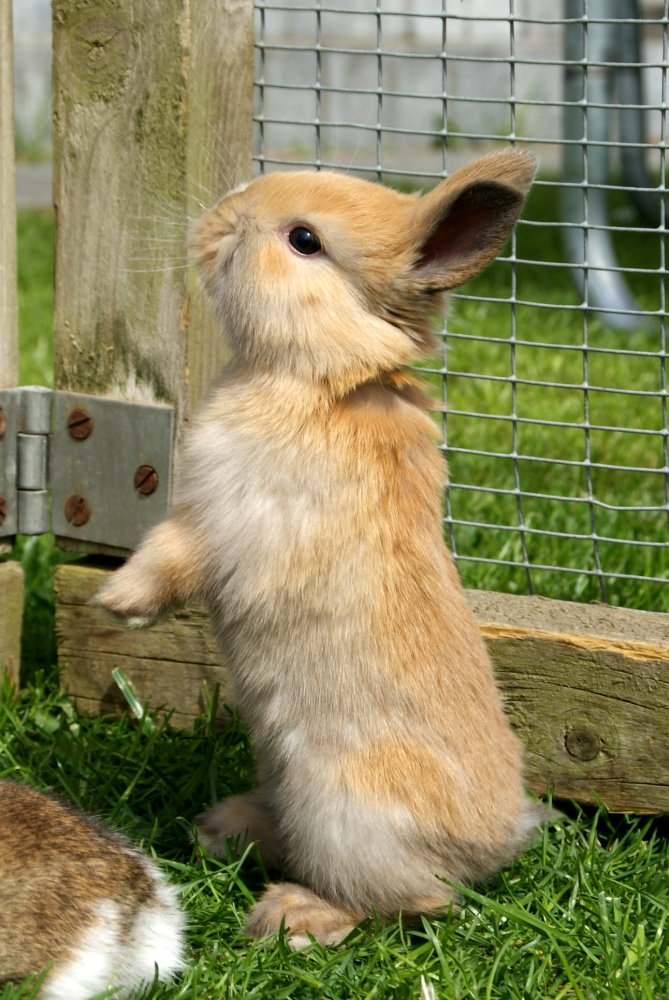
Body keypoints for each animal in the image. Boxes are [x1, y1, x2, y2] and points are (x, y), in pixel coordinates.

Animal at [94, 150, 549, 947]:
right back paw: (225, 829)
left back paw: (293, 916)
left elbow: (169, 558)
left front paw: (116, 603)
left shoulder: (222, 521)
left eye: (303, 240)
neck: (322, 376)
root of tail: (491, 844)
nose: (218, 217)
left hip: (343, 810)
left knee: (414, 900)